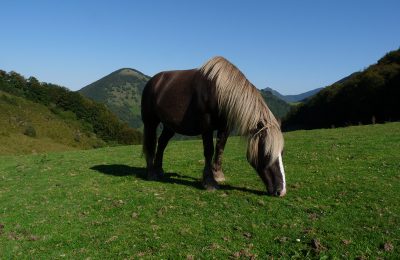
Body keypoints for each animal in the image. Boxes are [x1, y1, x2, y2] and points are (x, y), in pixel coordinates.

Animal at [142, 55, 286, 196]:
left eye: (282, 152)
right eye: (267, 154)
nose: (281, 191)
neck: (219, 91)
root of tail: (153, 81)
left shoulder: (225, 127)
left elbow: (220, 148)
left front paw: (218, 175)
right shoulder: (206, 126)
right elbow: (209, 150)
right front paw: (209, 182)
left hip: (170, 126)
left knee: (162, 143)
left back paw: (159, 170)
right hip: (150, 122)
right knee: (150, 144)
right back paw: (151, 173)